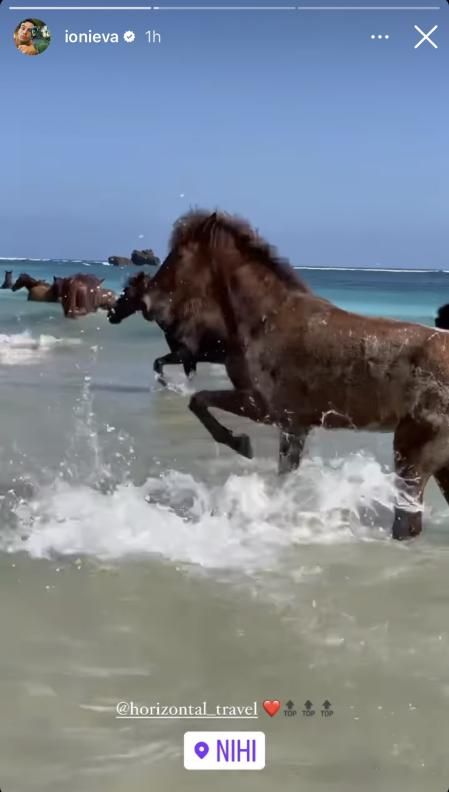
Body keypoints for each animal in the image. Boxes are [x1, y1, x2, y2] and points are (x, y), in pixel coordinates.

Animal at [136, 209, 449, 540]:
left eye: (180, 253)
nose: (147, 303)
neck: (266, 319)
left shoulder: (262, 406)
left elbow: (198, 400)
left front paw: (240, 443)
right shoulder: (293, 426)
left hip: (413, 452)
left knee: (407, 523)